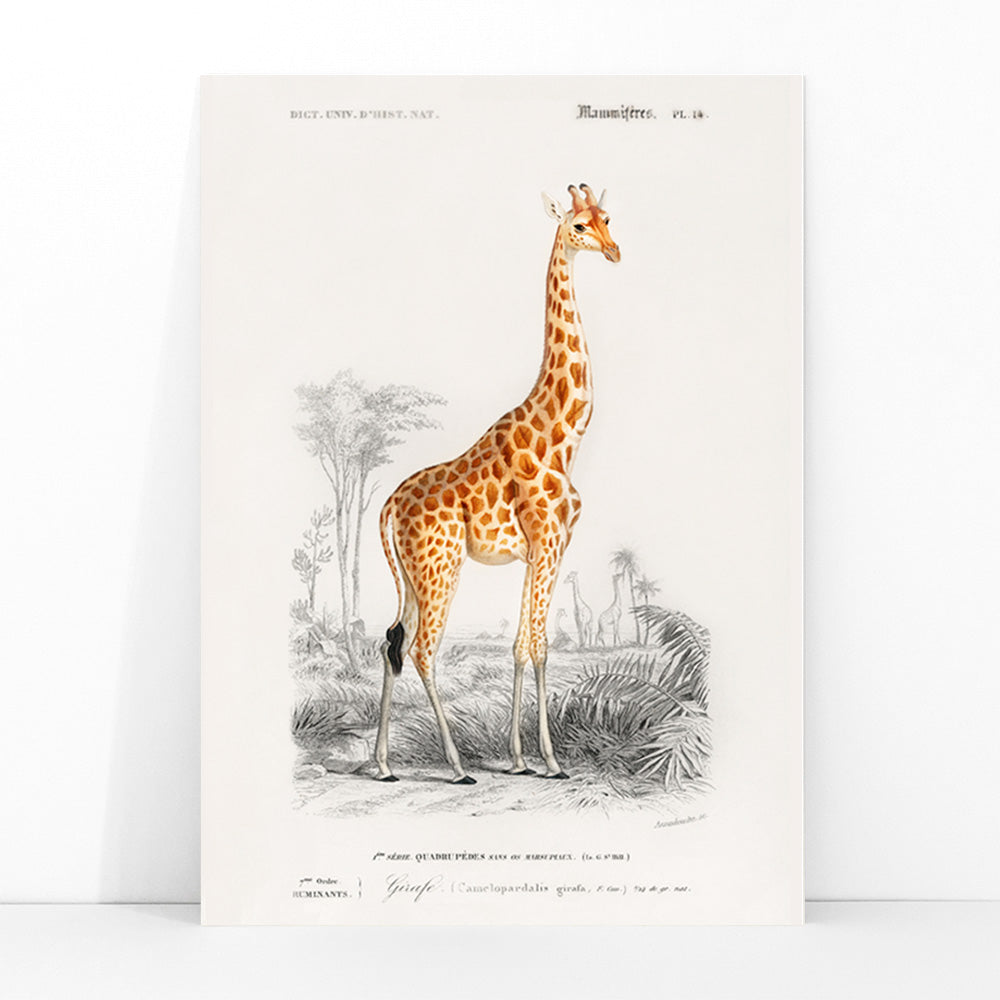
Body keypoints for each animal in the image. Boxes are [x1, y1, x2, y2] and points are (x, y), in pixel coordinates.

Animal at [375, 183, 619, 783]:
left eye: (608, 218)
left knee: (391, 642)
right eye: (578, 226)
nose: (614, 251)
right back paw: (458, 766)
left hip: (413, 576)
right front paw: (551, 761)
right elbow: (540, 646)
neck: (564, 435)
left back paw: (383, 765)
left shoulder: (541, 550)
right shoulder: (549, 543)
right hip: (440, 568)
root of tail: (387, 506)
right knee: (421, 650)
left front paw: (520, 759)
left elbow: (521, 645)